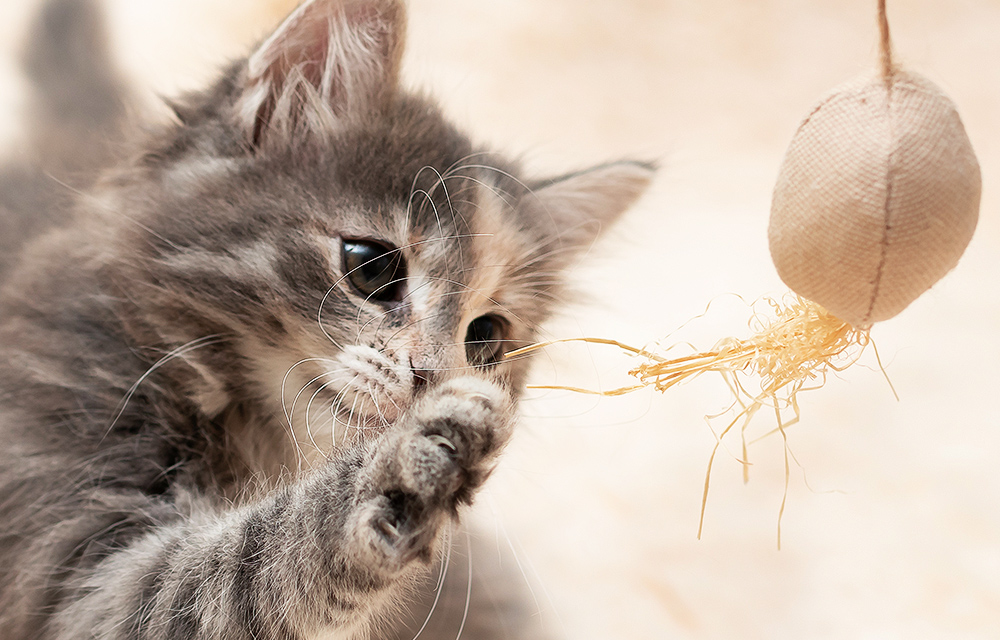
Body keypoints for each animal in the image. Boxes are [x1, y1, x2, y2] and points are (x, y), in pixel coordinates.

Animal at [0, 1, 652, 640]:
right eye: (372, 266)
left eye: (485, 338)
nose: (430, 376)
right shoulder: (67, 549)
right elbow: (232, 576)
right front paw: (409, 468)